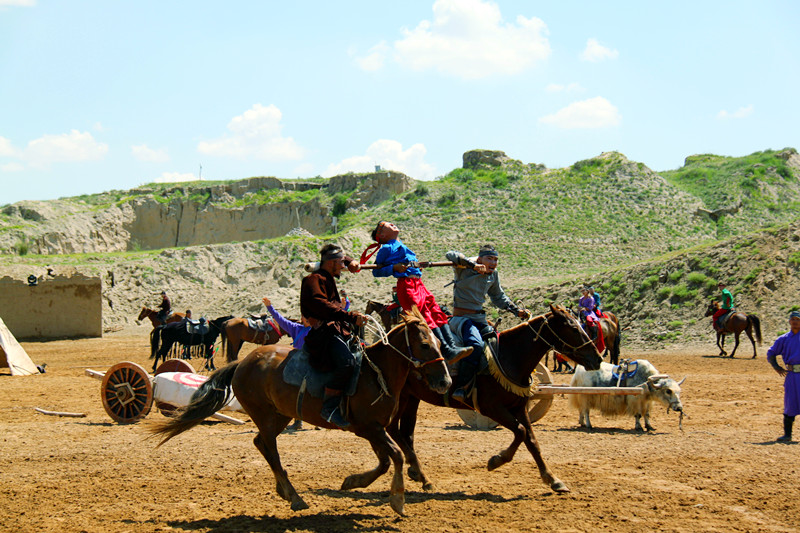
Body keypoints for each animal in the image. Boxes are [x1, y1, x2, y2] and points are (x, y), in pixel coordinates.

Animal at [150, 308, 450, 516]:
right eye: (425, 345)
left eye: (439, 342)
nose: (445, 382)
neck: (375, 373)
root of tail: (243, 363)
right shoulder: (370, 428)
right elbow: (396, 456)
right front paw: (398, 500)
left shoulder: (373, 430)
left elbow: (386, 460)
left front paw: (353, 481)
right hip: (265, 415)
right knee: (269, 448)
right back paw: (294, 496)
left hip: (279, 415)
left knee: (261, 443)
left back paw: (284, 490)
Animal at [346, 304, 604, 494]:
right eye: (572, 327)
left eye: (581, 324)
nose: (597, 358)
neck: (510, 355)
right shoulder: (492, 408)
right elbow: (520, 432)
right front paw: (496, 460)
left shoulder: (519, 407)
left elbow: (532, 440)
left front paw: (552, 479)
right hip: (404, 399)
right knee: (395, 430)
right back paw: (417, 472)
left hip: (411, 399)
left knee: (403, 433)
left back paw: (418, 474)